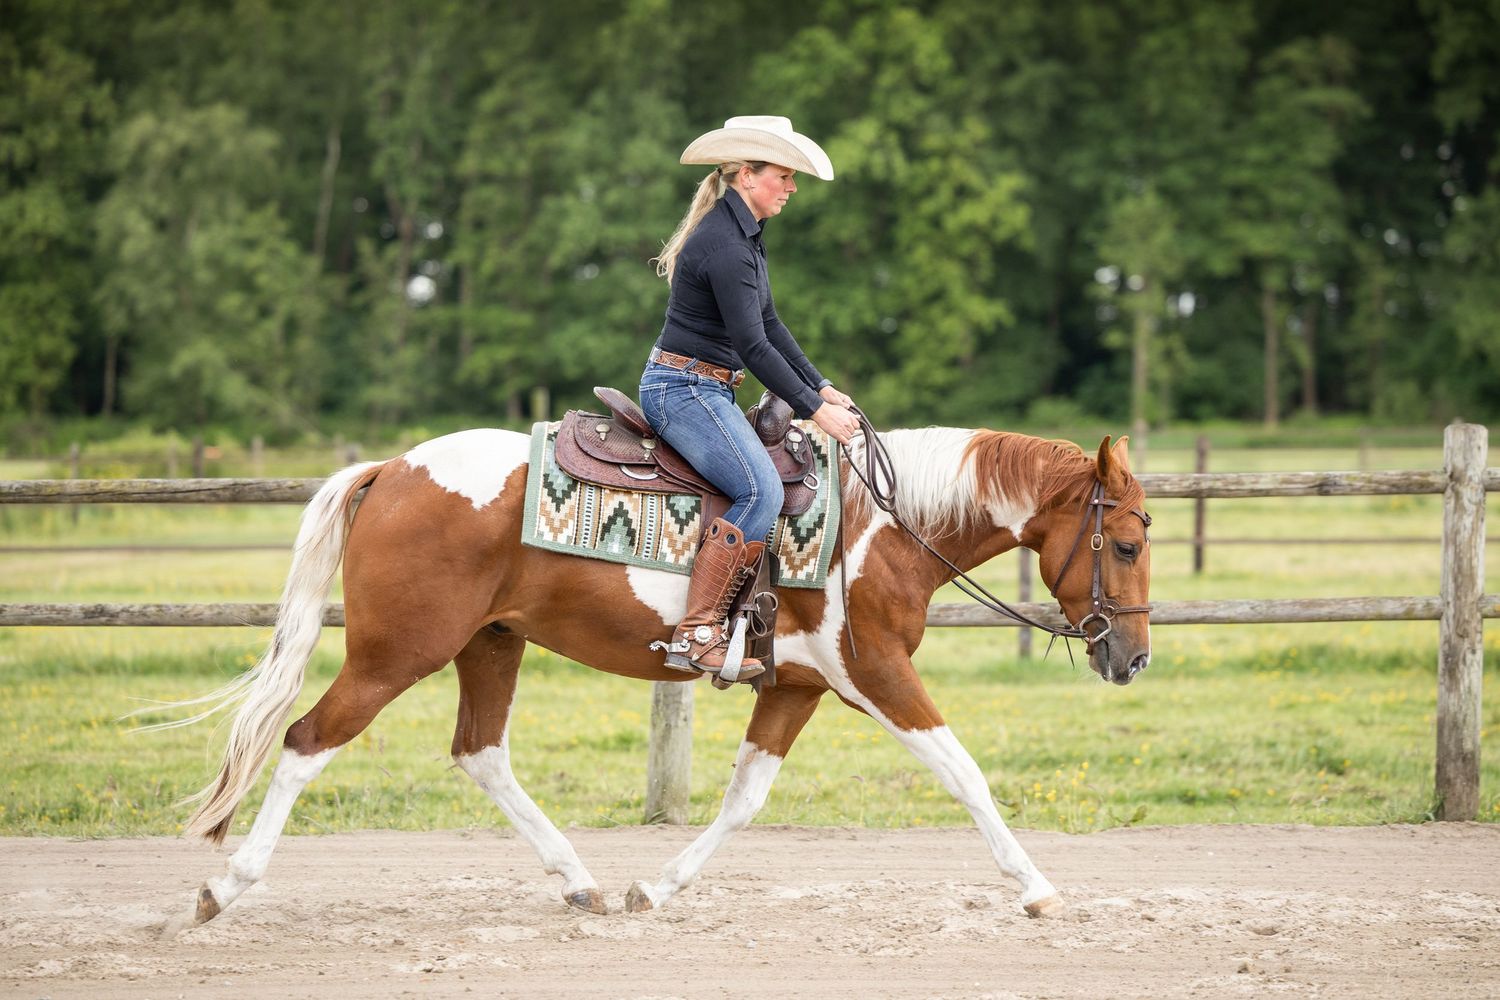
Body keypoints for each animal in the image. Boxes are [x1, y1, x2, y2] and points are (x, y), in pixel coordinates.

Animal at [166, 421, 1151, 932]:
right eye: (1129, 544)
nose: (1133, 657)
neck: (884, 524)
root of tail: (393, 468)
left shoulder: (795, 687)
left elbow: (744, 800)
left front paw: (659, 886)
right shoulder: (875, 673)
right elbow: (965, 773)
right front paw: (1036, 886)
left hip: (491, 644)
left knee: (481, 753)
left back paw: (579, 879)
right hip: (395, 654)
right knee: (307, 741)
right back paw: (221, 888)